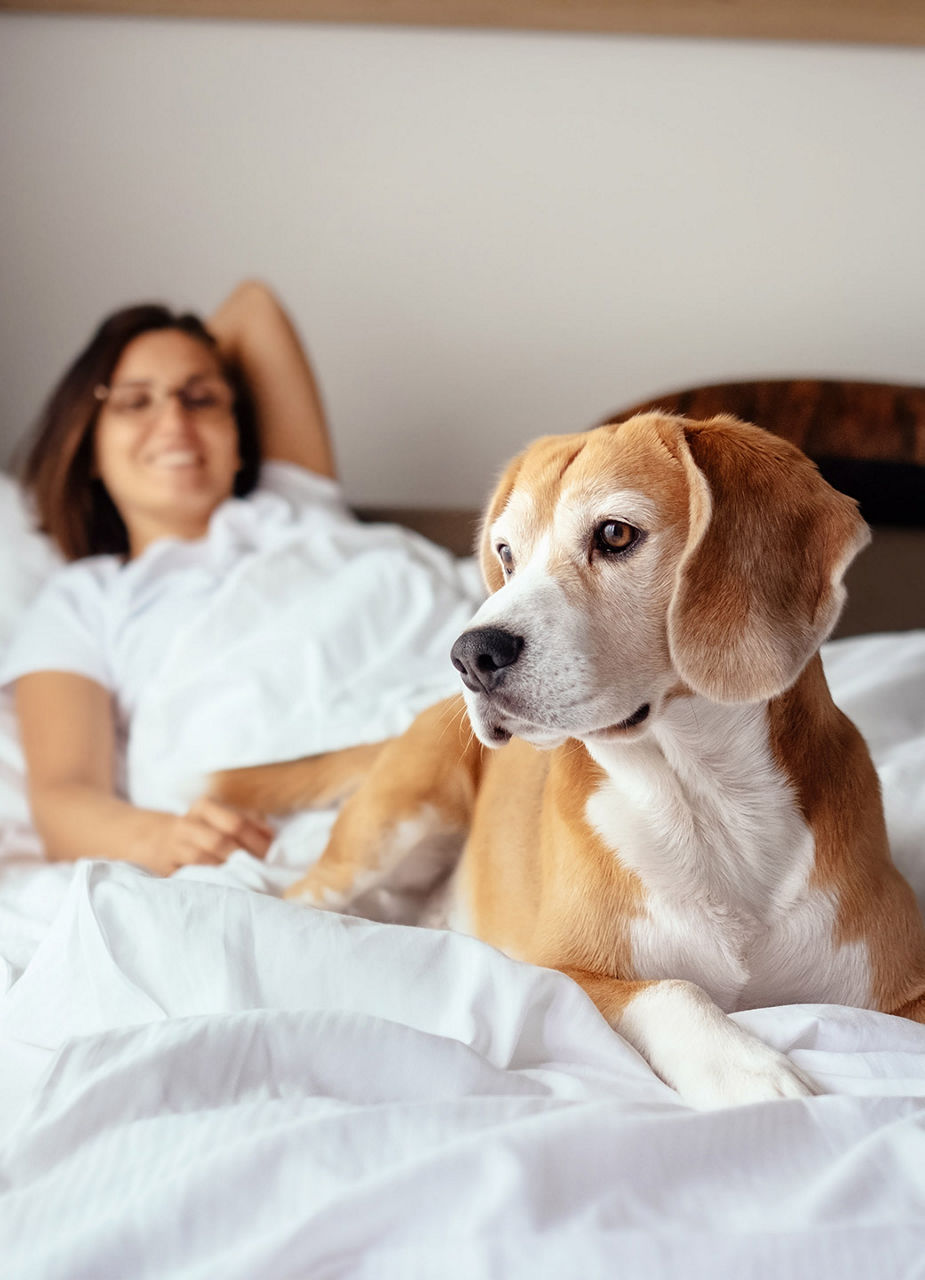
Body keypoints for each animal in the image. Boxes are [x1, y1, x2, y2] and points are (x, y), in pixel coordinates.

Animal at [213, 414, 925, 1105]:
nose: (470, 654)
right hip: (391, 825)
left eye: (614, 534)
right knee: (299, 895)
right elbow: (672, 989)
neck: (707, 800)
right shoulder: (555, 970)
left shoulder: (905, 995)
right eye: (505, 553)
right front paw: (742, 1067)